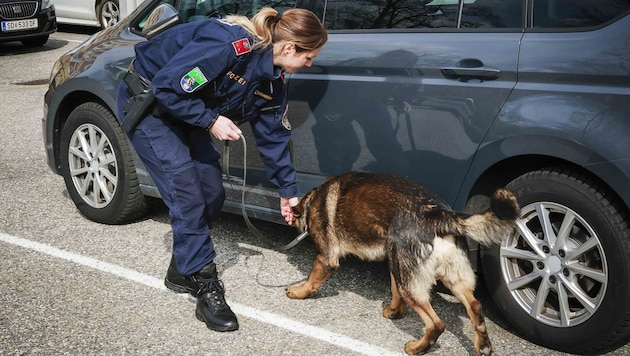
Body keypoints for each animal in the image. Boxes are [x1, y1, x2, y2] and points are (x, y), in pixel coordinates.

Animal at [288, 171, 520, 354]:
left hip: (411, 286)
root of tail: (438, 214)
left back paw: (417, 348)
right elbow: (394, 291)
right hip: (446, 278)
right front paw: (394, 312)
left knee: (436, 324)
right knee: (475, 306)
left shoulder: (326, 258)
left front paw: (298, 292)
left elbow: (312, 280)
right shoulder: (395, 263)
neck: (313, 199)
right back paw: (483, 346)